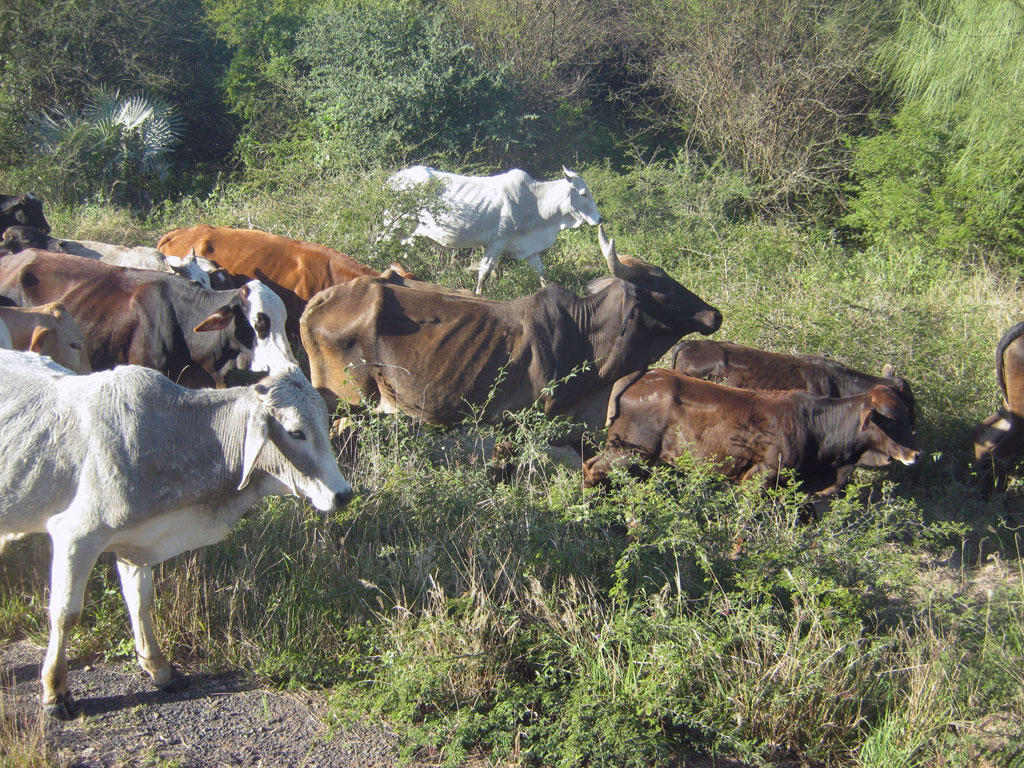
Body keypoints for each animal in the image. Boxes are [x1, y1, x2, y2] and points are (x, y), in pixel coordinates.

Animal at [0, 352, 353, 717]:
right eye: (296, 432)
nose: (343, 494)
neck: (174, 435)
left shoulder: (137, 543)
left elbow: (140, 602)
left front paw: (159, 668)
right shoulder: (76, 535)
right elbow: (65, 613)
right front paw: (54, 692)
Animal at [300, 225, 721, 438]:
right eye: (661, 287)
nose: (713, 315)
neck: (586, 336)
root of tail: (320, 300)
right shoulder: (528, 419)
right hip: (348, 401)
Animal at [385, 165, 601, 294]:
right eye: (583, 193)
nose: (600, 219)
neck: (535, 202)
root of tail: (393, 179)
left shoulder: (527, 247)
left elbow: (540, 272)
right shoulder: (497, 242)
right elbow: (484, 273)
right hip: (391, 228)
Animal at [582, 369, 920, 496]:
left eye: (908, 415)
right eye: (889, 419)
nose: (915, 454)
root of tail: (643, 374)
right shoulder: (762, 475)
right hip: (626, 452)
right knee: (592, 467)